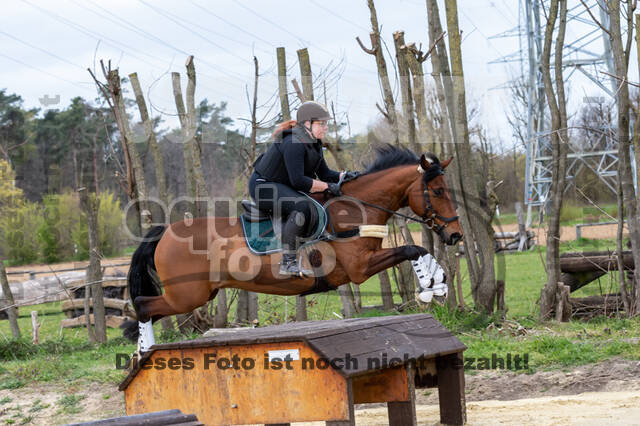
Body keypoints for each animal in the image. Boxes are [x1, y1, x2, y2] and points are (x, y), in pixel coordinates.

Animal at [121, 146, 460, 350]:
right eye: (438, 192)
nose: (455, 235)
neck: (354, 210)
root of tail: (166, 232)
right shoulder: (359, 268)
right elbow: (411, 249)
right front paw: (430, 286)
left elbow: (417, 249)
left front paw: (438, 281)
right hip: (187, 295)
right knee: (144, 306)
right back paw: (144, 354)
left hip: (199, 293)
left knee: (147, 309)